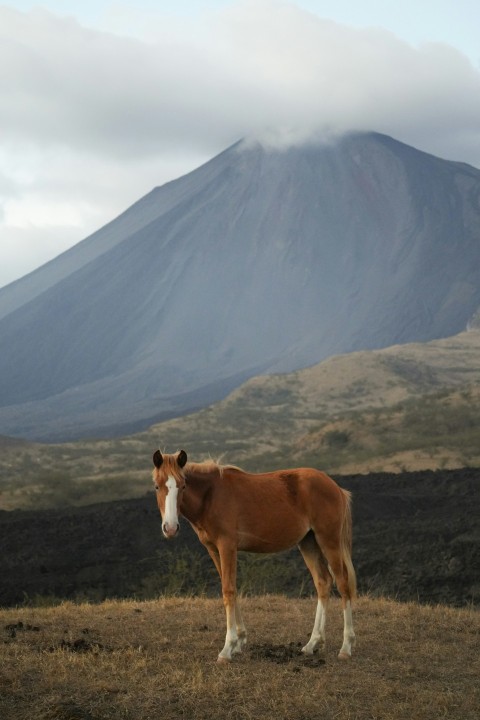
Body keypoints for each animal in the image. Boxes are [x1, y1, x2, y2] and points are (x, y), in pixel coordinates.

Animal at [151, 450, 356, 664]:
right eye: (157, 486)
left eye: (183, 485)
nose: (170, 528)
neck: (211, 495)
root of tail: (336, 488)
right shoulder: (213, 549)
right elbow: (230, 589)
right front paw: (240, 640)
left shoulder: (227, 547)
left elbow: (228, 591)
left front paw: (228, 648)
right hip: (308, 543)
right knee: (323, 582)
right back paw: (312, 644)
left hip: (329, 541)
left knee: (343, 584)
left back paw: (346, 646)